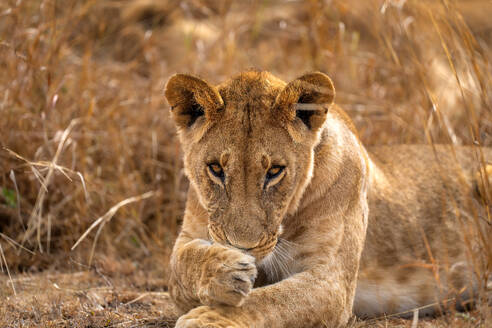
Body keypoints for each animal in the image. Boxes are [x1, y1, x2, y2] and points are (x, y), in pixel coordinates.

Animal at [163, 70, 490, 326]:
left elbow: (271, 300)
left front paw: (208, 318)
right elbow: (179, 265)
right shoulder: (188, 235)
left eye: (275, 171)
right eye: (216, 169)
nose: (243, 248)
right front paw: (224, 269)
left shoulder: (332, 283)